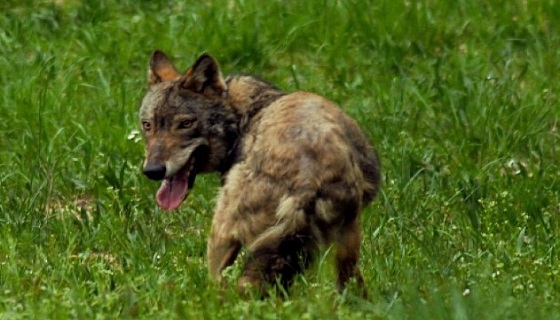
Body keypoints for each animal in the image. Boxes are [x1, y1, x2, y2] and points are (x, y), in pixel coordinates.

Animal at [139, 50, 380, 298]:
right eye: (147, 125)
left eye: (185, 124)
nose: (153, 171)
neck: (244, 114)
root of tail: (308, 180)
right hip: (344, 243)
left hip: (221, 232)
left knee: (220, 286)